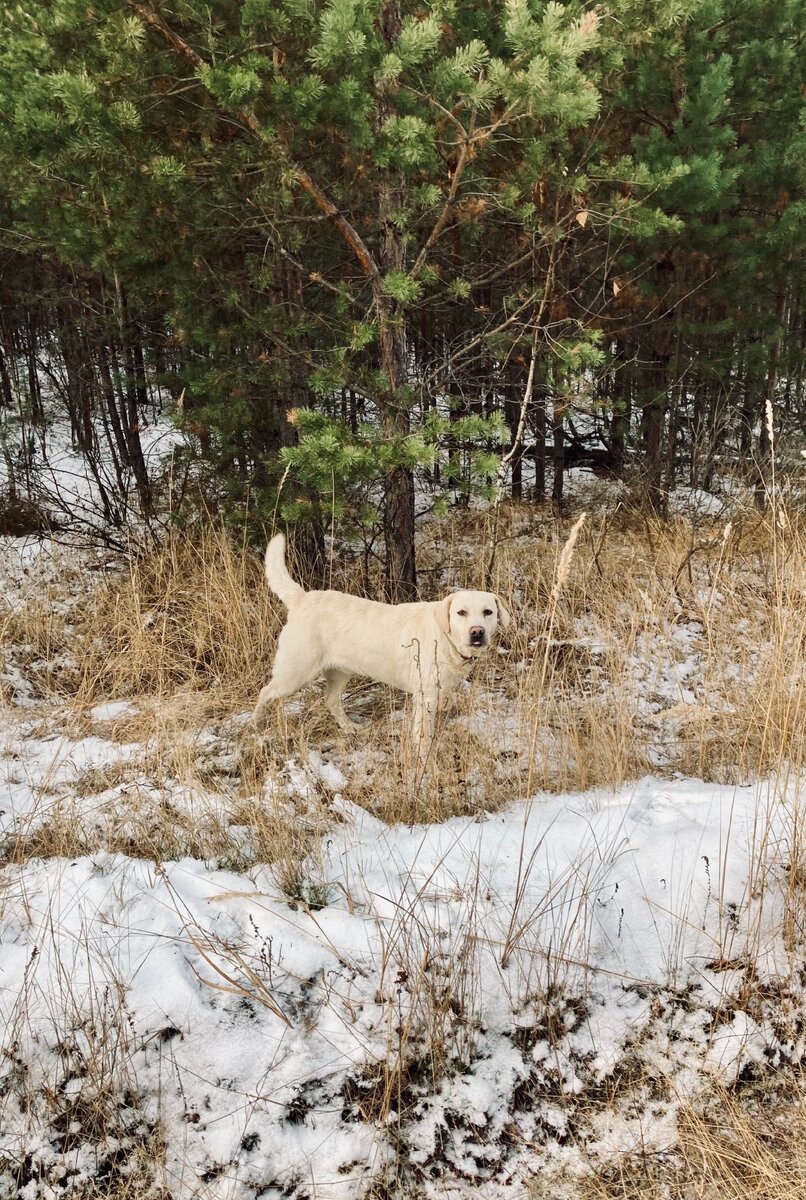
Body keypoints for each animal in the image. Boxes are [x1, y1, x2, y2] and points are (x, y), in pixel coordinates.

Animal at [253, 537, 510, 758]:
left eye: (488, 612)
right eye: (461, 612)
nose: (477, 632)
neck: (446, 640)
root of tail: (302, 598)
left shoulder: (439, 691)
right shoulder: (425, 696)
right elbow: (423, 734)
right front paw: (425, 760)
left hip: (340, 672)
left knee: (331, 700)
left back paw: (349, 727)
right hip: (295, 673)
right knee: (265, 692)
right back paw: (256, 725)